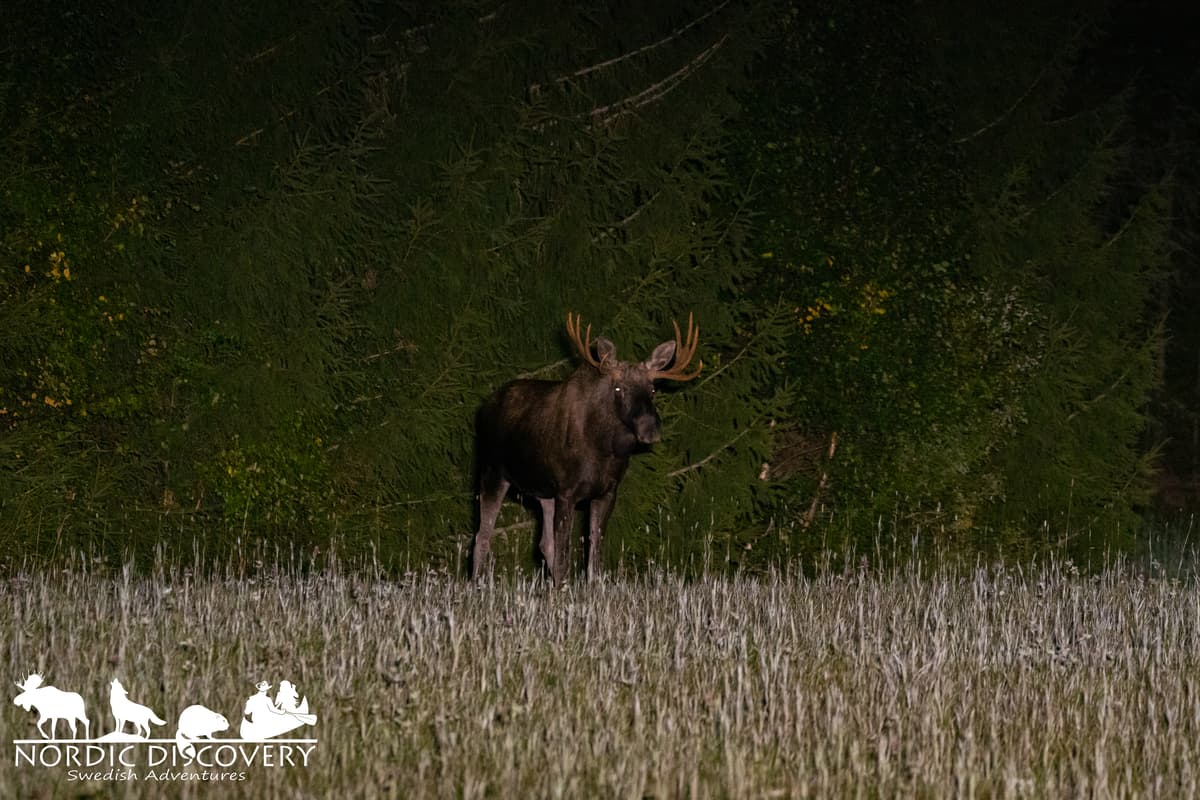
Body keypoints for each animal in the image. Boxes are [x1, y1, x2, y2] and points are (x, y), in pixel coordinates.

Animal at [472, 312, 701, 584]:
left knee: (543, 542)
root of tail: (483, 407)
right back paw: (477, 584)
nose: (650, 429)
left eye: (653, 389)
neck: (604, 451)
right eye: (619, 388)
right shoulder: (567, 491)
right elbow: (565, 552)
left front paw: (588, 586)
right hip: (492, 472)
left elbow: (595, 550)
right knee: (481, 536)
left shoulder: (607, 491)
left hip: (543, 491)